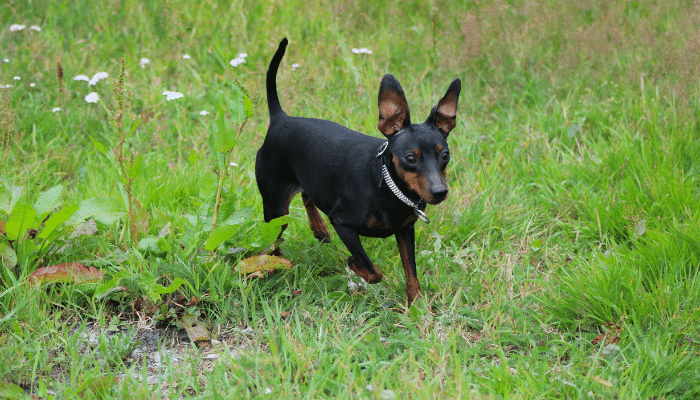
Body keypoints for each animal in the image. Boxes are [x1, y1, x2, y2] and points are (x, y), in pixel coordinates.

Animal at [256, 39, 460, 304]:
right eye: (410, 158)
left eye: (445, 155)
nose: (440, 192)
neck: (388, 188)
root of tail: (281, 118)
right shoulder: (342, 223)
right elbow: (372, 270)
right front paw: (353, 263)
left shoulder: (405, 231)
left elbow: (411, 275)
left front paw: (417, 305)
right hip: (275, 208)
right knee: (274, 240)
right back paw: (273, 264)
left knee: (308, 194)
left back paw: (319, 229)